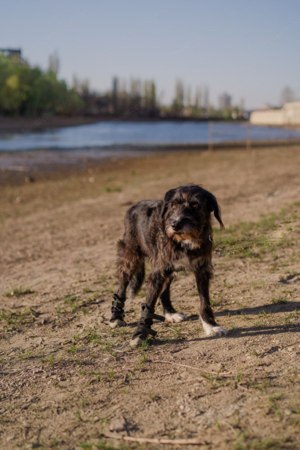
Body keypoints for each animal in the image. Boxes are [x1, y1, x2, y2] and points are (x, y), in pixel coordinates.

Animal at [110, 185, 227, 346]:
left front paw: (211, 326)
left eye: (195, 204)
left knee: (164, 292)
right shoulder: (158, 271)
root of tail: (133, 207)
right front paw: (140, 332)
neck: (184, 241)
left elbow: (205, 302)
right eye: (173, 204)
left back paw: (170, 313)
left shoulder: (201, 269)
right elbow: (148, 304)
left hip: (169, 271)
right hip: (130, 258)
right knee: (121, 286)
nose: (175, 224)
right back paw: (116, 317)